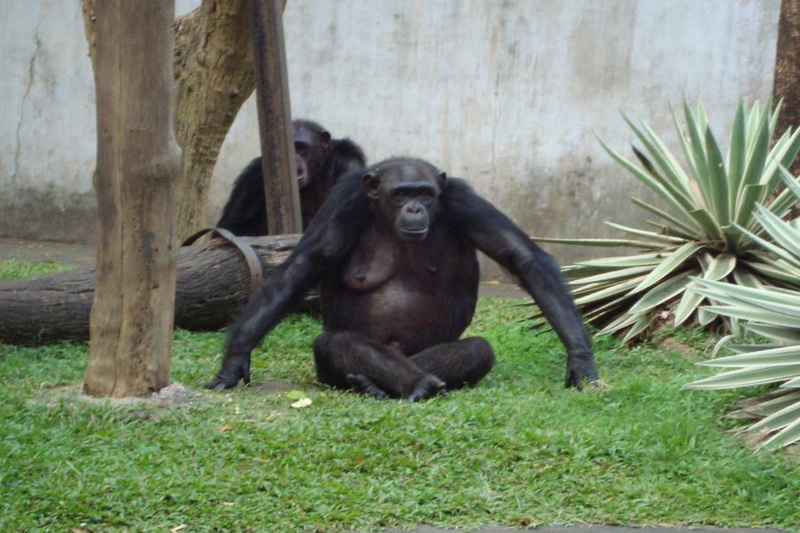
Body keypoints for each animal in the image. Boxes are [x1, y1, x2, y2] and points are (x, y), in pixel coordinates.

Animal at [206, 156, 600, 396]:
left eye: (424, 194)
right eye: (401, 194)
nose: (414, 208)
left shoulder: (463, 200)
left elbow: (521, 256)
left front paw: (580, 359)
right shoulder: (345, 200)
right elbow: (304, 265)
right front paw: (234, 361)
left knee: (477, 349)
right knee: (337, 343)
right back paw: (397, 382)